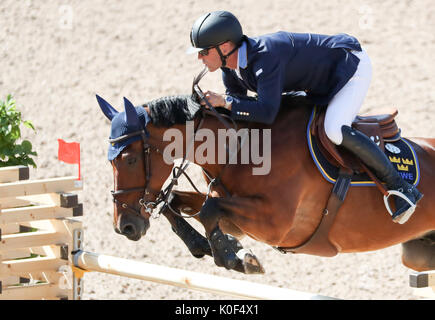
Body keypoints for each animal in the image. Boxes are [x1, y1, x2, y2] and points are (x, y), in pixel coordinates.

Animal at [96, 90, 435, 276]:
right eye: (109, 161)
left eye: (129, 159)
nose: (125, 226)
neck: (241, 147)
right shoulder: (231, 209)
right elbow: (178, 204)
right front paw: (206, 246)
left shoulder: (277, 224)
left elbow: (208, 210)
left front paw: (236, 258)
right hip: (418, 256)